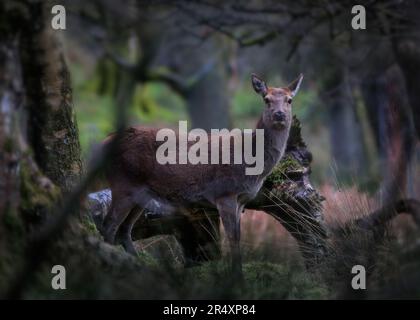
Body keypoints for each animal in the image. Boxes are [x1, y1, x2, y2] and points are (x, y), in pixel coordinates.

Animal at [100, 74, 304, 276]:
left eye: (289, 100)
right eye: (266, 99)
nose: (279, 114)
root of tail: (105, 141)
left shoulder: (242, 200)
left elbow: (238, 237)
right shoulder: (224, 194)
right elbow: (232, 238)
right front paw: (236, 277)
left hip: (140, 192)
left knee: (124, 230)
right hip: (123, 184)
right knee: (109, 225)